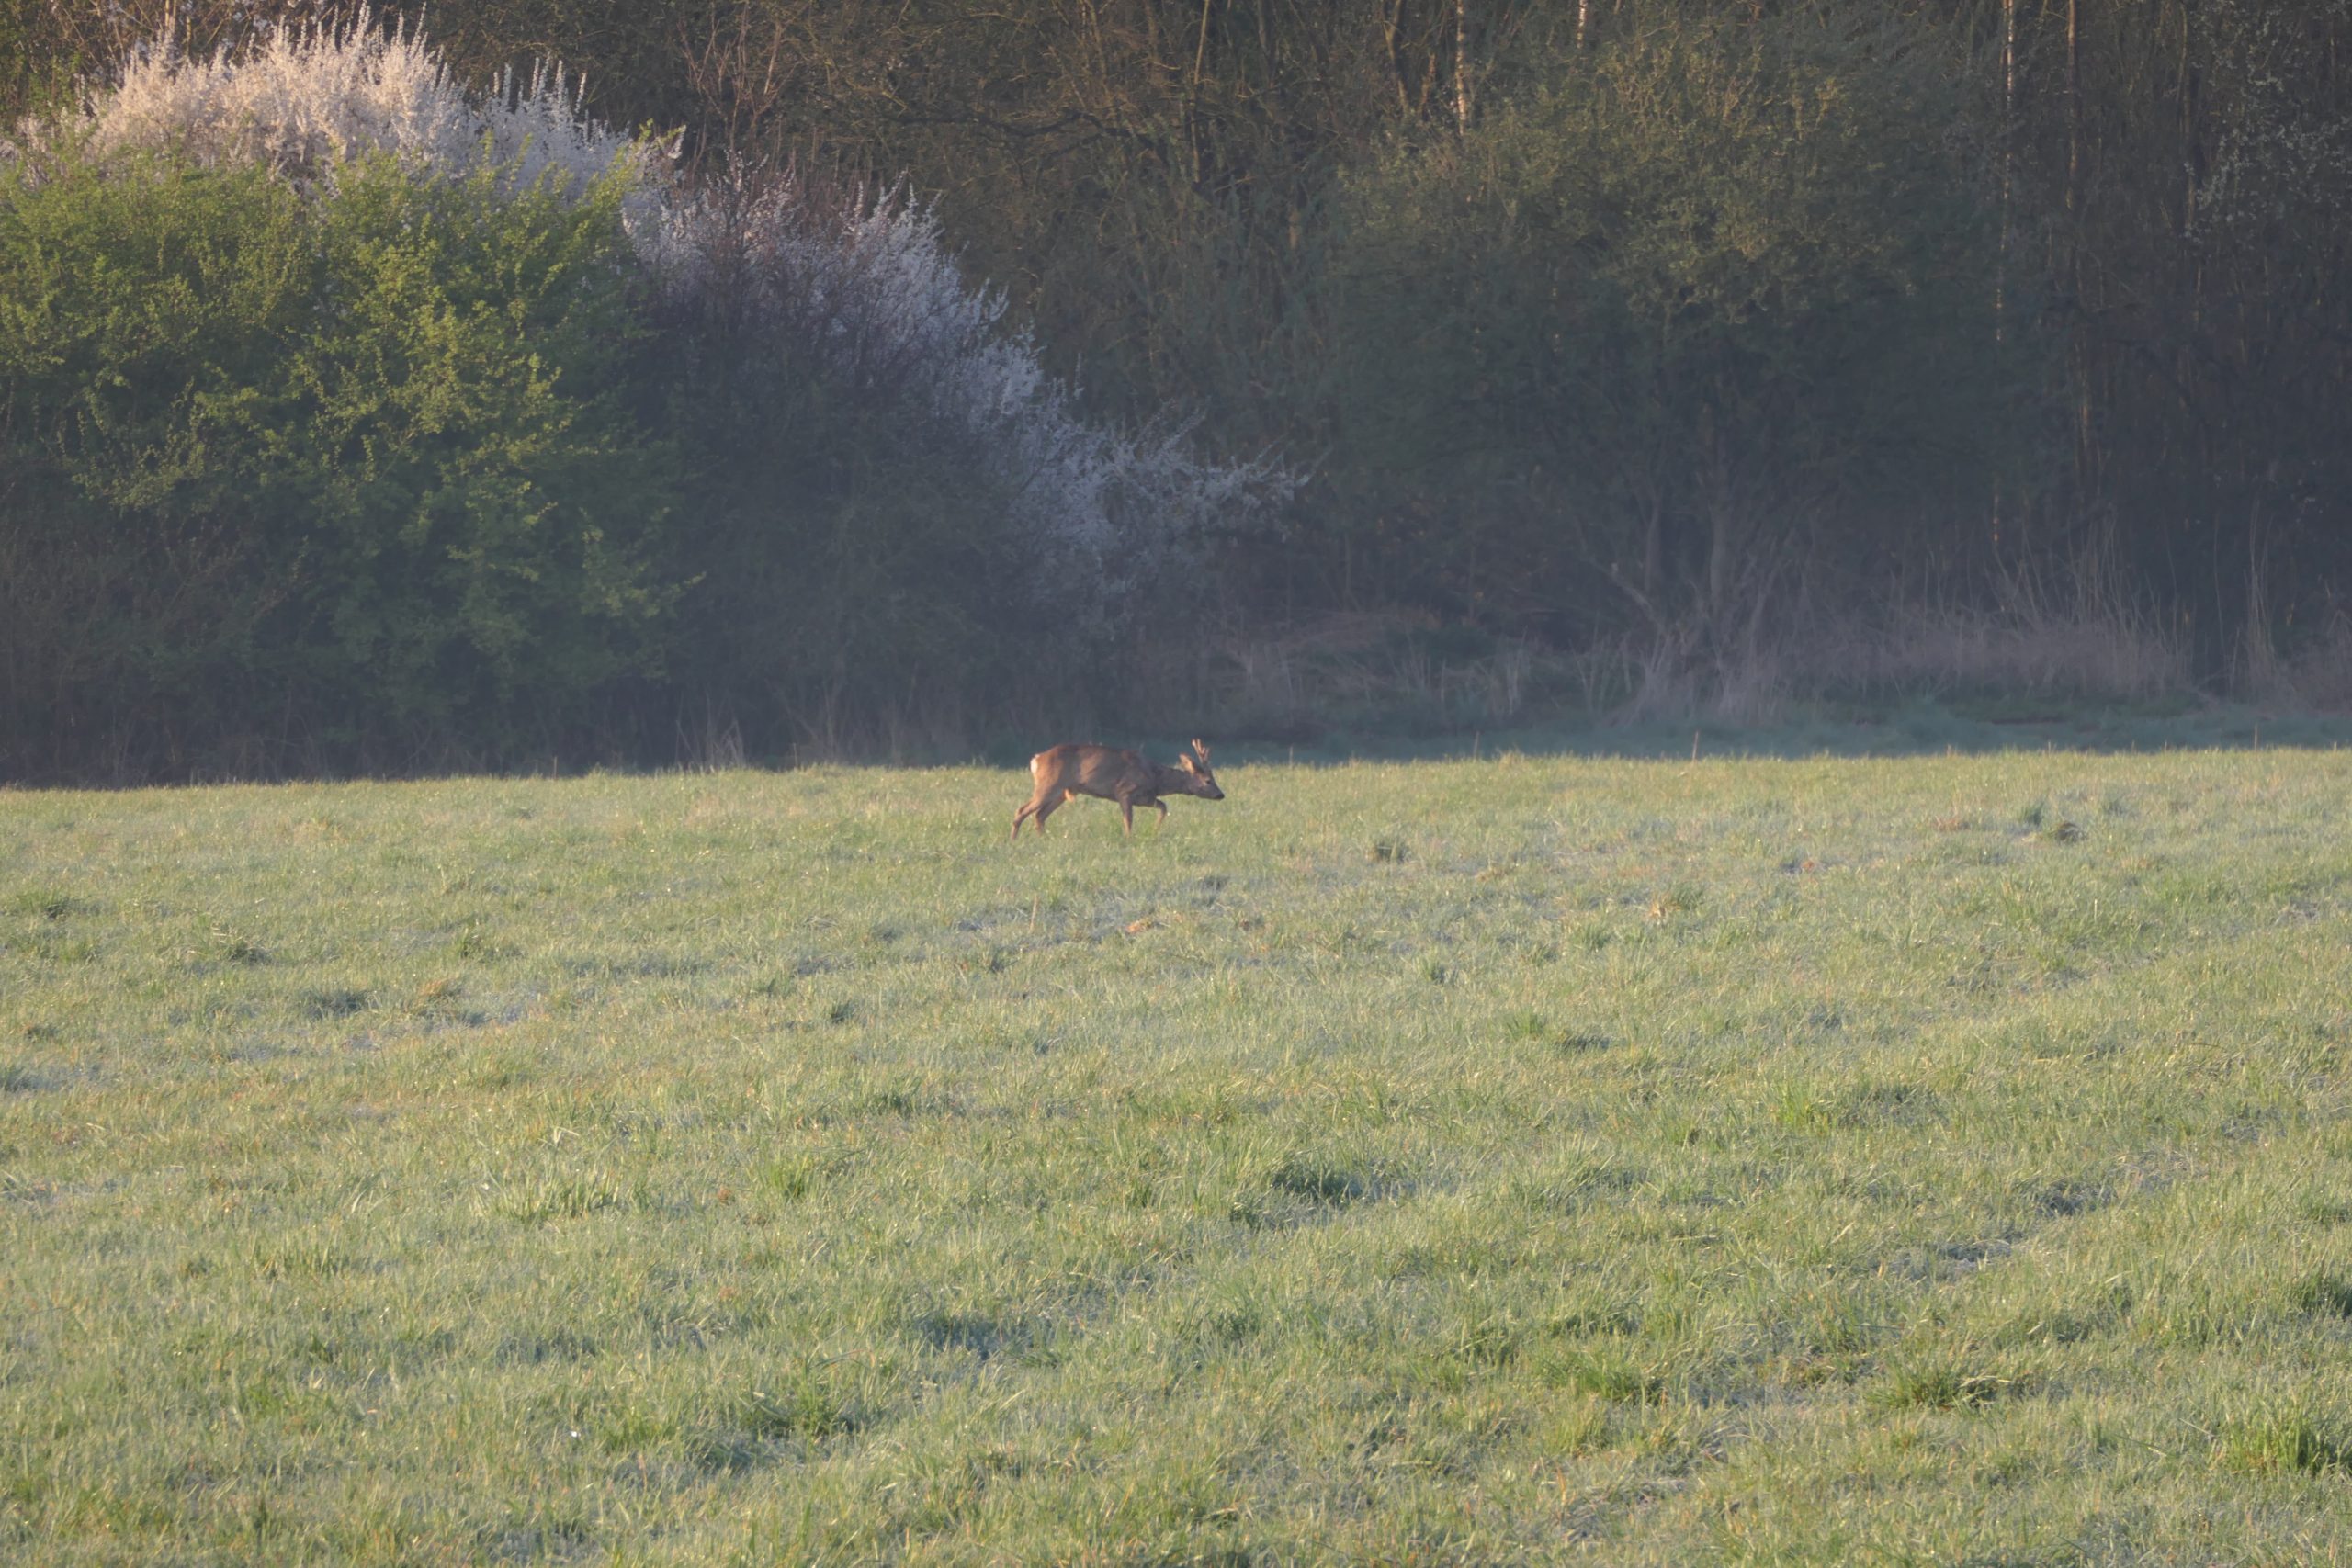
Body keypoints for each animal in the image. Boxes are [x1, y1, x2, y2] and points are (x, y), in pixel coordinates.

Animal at [1011, 738, 1224, 838]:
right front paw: (1129, 837)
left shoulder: (1145, 797)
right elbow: (1128, 819)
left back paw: (1043, 838)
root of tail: (1036, 760)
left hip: (1061, 792)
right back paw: (1013, 840)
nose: (1221, 794)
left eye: (1213, 779)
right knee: (1022, 810)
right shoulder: (1125, 791)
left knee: (1039, 815)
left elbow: (1164, 806)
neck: (1155, 777)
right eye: (1208, 781)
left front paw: (1155, 829)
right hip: (1048, 784)